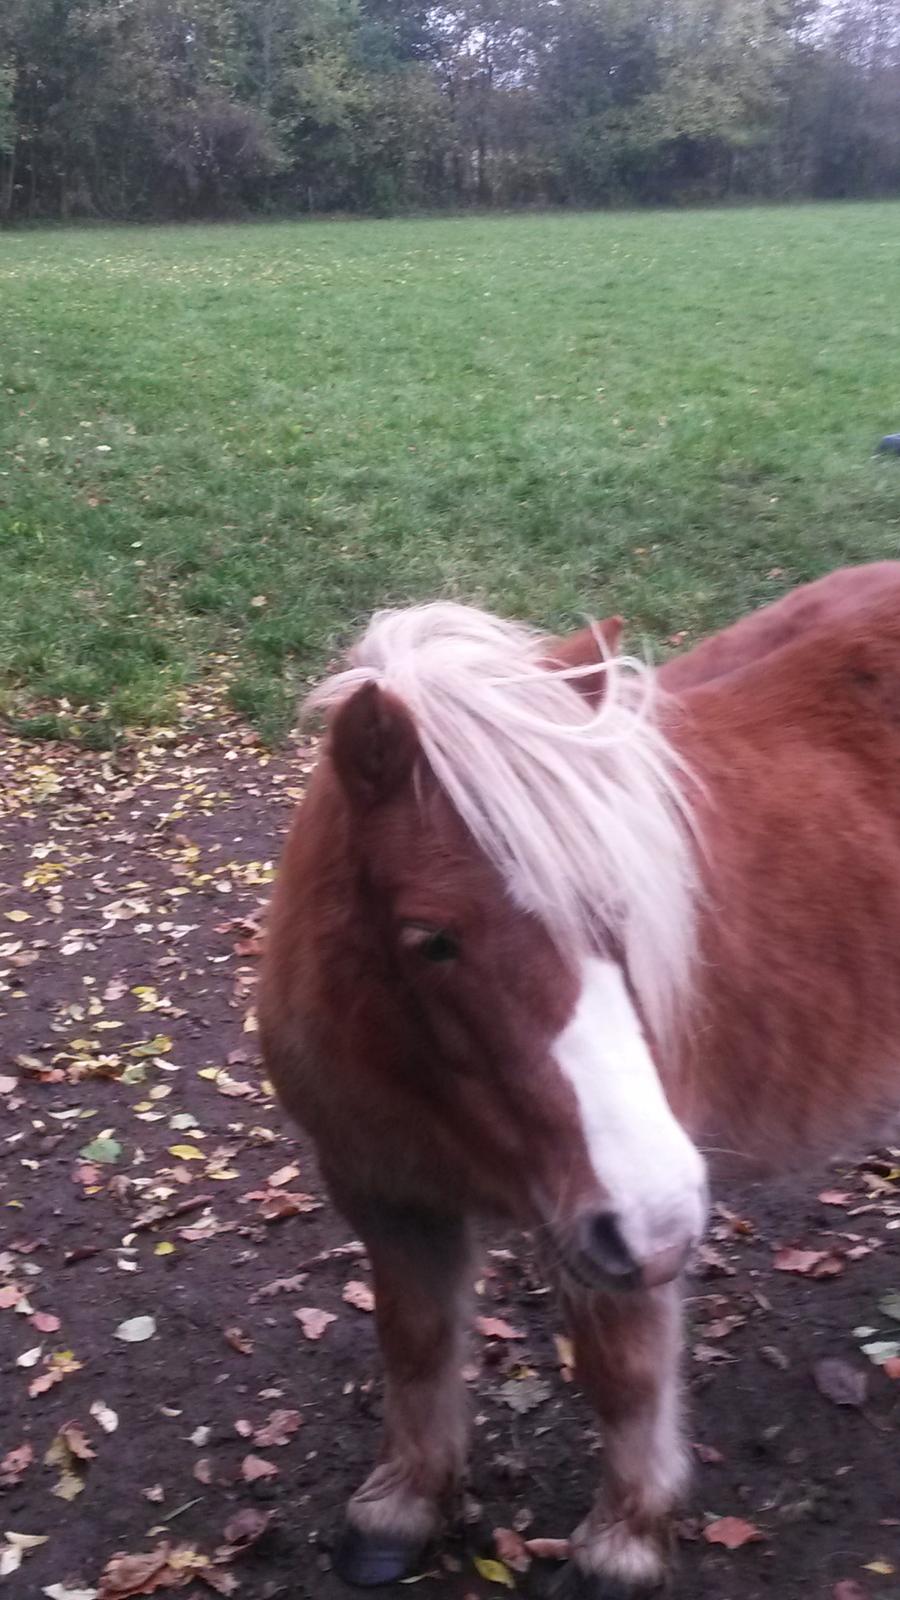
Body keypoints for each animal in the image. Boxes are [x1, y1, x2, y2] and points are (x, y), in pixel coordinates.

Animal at [259, 566, 900, 1600]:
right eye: (430, 939)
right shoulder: (385, 1193)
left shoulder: (611, 1231)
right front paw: (403, 1502)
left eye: (623, 906)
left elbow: (623, 1375)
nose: (663, 1215)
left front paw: (627, 1540)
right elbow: (415, 1341)